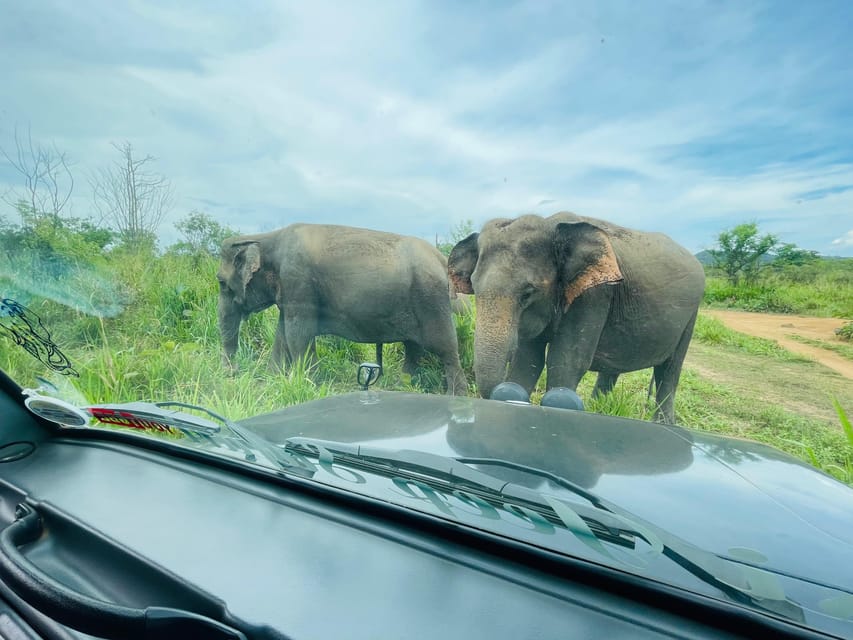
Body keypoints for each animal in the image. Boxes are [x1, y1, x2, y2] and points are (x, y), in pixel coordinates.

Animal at [213, 225, 466, 396]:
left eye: (221, 283)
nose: (232, 373)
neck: (266, 238)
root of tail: (442, 258)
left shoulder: (298, 281)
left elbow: (298, 334)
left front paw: (307, 383)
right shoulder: (290, 289)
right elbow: (283, 333)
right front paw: (274, 378)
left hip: (431, 299)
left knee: (445, 347)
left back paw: (455, 395)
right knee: (413, 346)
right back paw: (403, 385)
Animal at [446, 212, 704, 422]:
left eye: (528, 293)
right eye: (474, 287)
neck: (552, 224)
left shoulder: (594, 295)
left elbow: (566, 361)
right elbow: (528, 359)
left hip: (691, 315)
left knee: (670, 369)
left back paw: (662, 422)